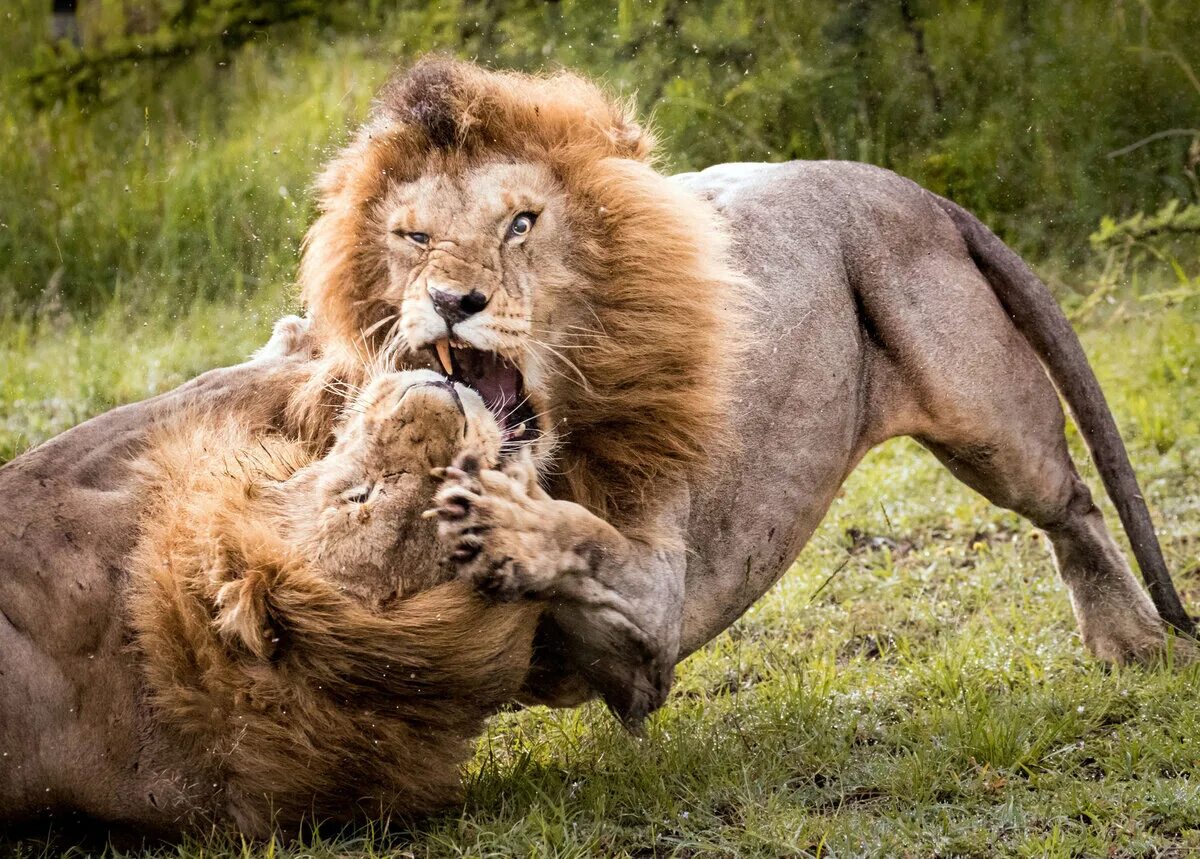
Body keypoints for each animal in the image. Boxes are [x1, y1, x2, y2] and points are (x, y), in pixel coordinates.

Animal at [290, 56, 1190, 719]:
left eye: (521, 224)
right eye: (415, 237)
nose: (452, 300)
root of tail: (912, 188)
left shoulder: (651, 619)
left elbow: (585, 541)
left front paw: (505, 521)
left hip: (986, 418)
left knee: (1072, 502)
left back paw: (1131, 641)